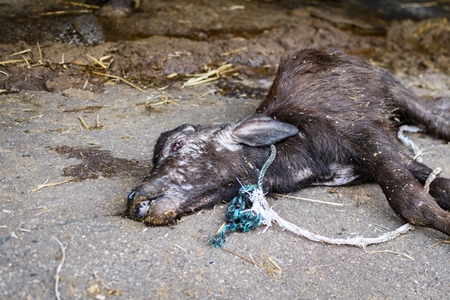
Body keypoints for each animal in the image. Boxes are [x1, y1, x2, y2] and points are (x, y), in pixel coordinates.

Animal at [125, 48, 450, 237]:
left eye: (176, 145)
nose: (134, 200)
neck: (302, 150)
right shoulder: (387, 157)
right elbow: (436, 185)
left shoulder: (367, 136)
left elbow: (408, 199)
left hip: (392, 86)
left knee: (432, 116)